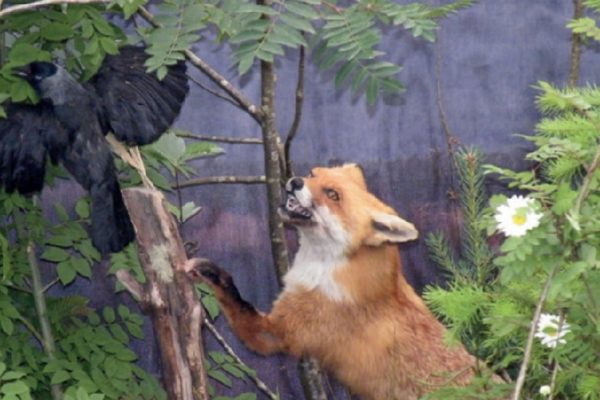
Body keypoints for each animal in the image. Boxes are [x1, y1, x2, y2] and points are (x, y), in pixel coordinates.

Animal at [189, 164, 488, 398]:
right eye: (313, 174)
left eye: (333, 195)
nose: (295, 181)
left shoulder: (278, 333)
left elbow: (234, 297)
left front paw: (209, 273)